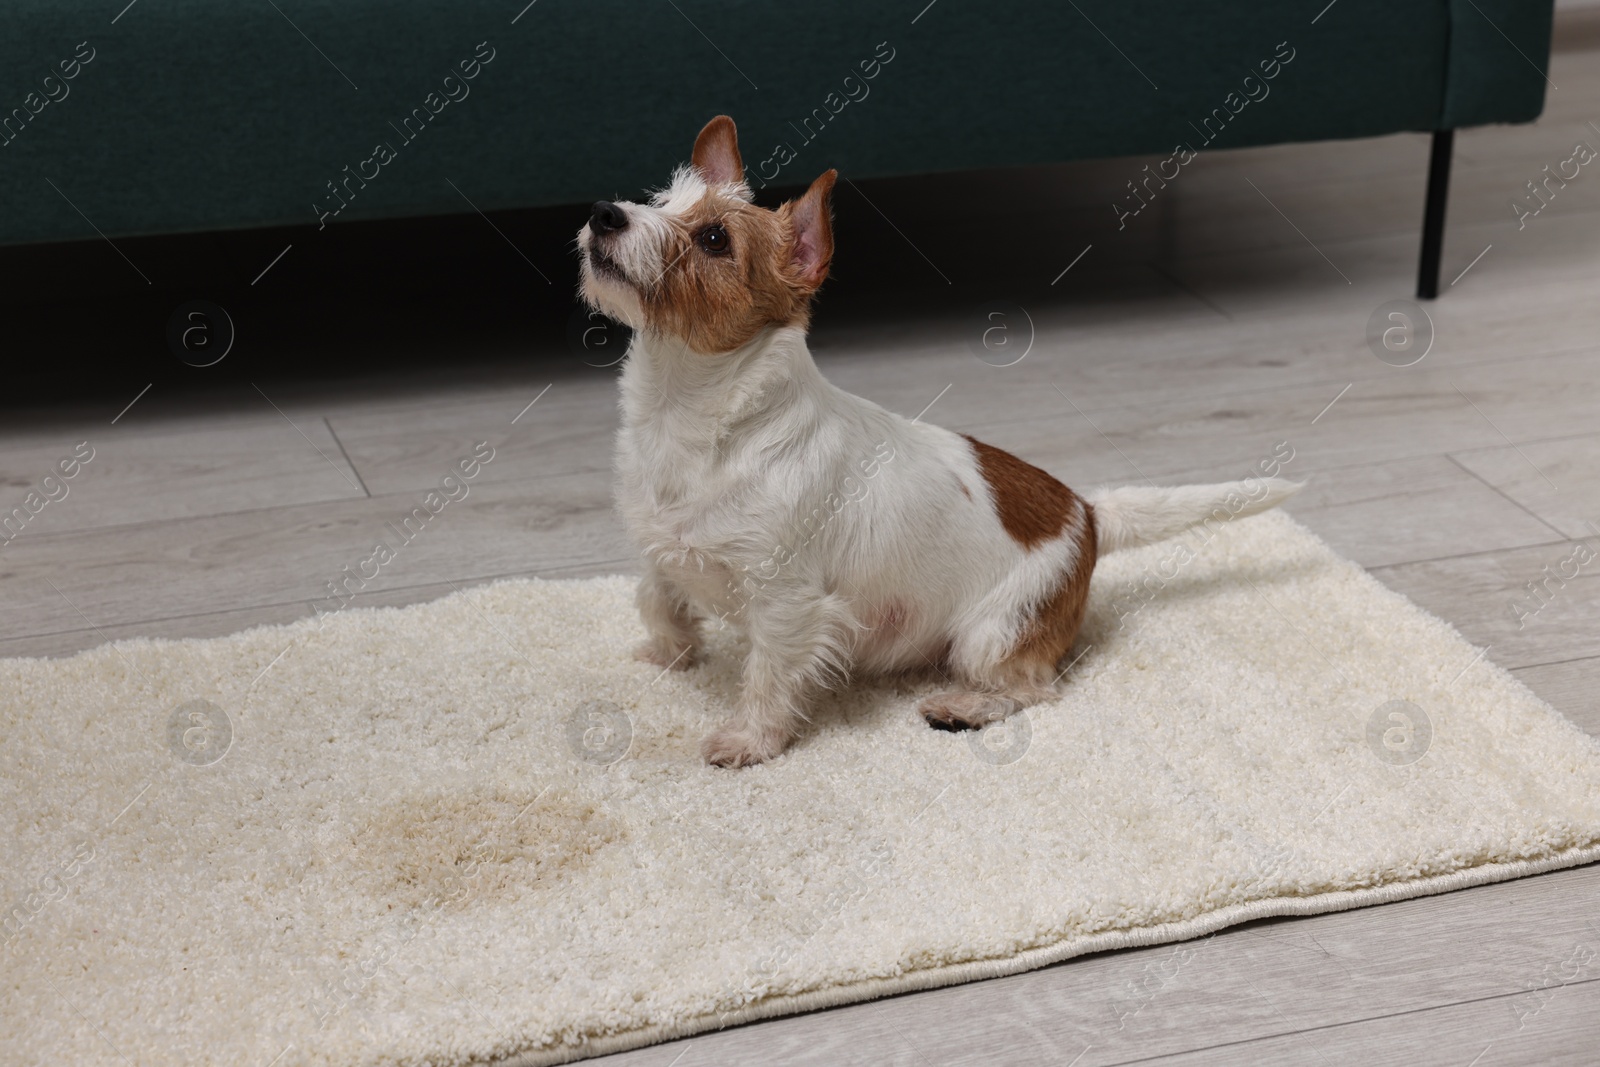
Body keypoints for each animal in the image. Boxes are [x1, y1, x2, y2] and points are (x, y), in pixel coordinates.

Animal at [576, 115, 1299, 767]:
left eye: (714, 238)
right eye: (658, 198)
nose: (604, 213)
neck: (690, 412)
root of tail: (1089, 514)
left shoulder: (786, 603)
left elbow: (767, 676)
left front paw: (750, 741)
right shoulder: (659, 549)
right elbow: (657, 599)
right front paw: (669, 654)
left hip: (990, 633)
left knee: (1036, 687)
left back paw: (964, 706)